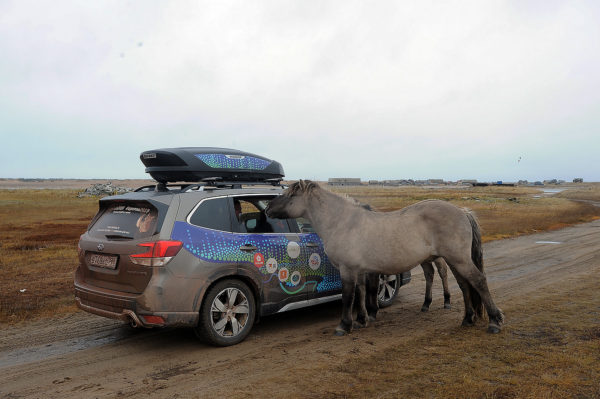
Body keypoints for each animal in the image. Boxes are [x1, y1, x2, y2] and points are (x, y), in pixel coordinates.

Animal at [266, 182, 502, 338]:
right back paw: (468, 319)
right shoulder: (360, 270)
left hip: (458, 259)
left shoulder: (347, 270)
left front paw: (344, 325)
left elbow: (348, 297)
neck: (342, 222)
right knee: (464, 285)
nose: (267, 209)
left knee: (478, 281)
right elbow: (361, 293)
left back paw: (495, 321)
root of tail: (462, 211)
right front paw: (362, 320)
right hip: (454, 260)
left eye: (289, 195)